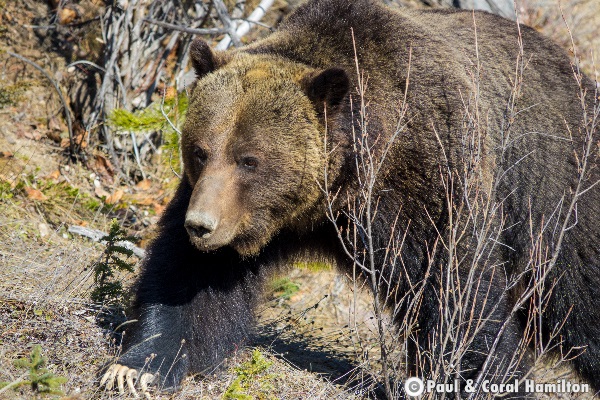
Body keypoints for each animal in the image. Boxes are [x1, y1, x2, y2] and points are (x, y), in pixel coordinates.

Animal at [101, 0, 596, 396]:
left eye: (249, 159)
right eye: (200, 150)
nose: (201, 225)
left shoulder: (429, 179)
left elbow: (456, 289)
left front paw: (472, 377)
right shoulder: (236, 211)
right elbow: (191, 282)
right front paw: (137, 367)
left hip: (558, 198)